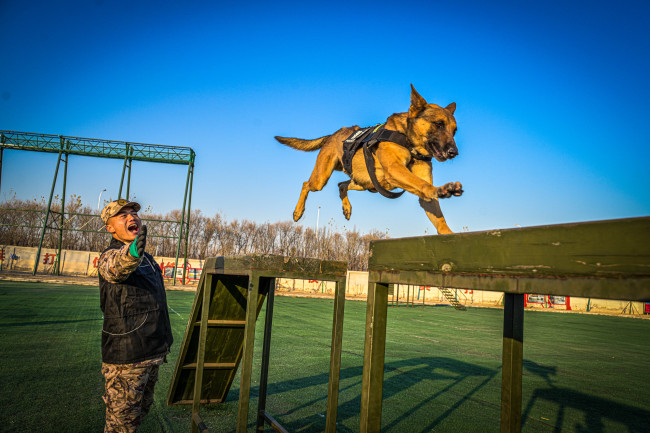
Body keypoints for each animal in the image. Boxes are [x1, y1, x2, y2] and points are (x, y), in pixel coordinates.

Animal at [274, 84, 460, 233]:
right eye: (438, 124)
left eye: (454, 131)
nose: (454, 152)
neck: (409, 143)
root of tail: (332, 135)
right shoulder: (394, 169)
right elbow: (422, 184)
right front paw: (440, 189)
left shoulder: (423, 196)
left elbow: (439, 219)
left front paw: (449, 236)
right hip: (321, 179)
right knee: (306, 184)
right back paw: (298, 211)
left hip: (365, 182)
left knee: (341, 185)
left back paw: (347, 208)